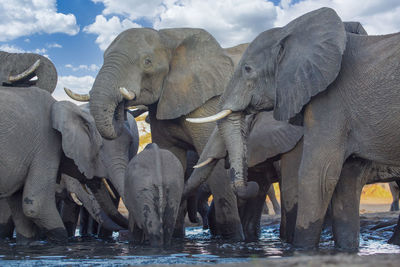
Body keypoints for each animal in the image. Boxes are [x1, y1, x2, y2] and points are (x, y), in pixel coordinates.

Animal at [65, 27, 250, 241]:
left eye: (147, 62)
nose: (122, 107)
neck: (169, 37)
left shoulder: (207, 102)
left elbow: (215, 165)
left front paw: (233, 239)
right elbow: (171, 156)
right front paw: (175, 239)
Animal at [189, 6, 400, 249]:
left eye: (248, 69)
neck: (290, 30)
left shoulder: (330, 102)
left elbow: (317, 175)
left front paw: (300, 249)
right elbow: (347, 179)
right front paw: (345, 250)